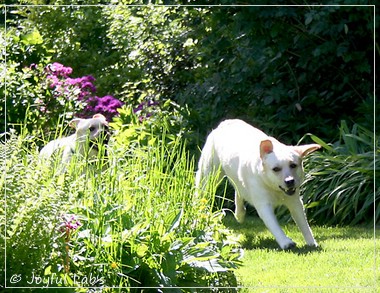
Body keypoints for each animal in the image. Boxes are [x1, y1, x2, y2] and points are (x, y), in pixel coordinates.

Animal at [196, 118, 320, 249]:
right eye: (276, 169)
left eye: (293, 165)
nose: (290, 181)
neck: (273, 188)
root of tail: (226, 122)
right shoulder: (263, 205)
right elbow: (274, 226)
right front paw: (286, 242)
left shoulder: (295, 202)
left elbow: (304, 224)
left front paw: (312, 242)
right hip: (209, 175)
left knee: (238, 190)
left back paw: (239, 214)